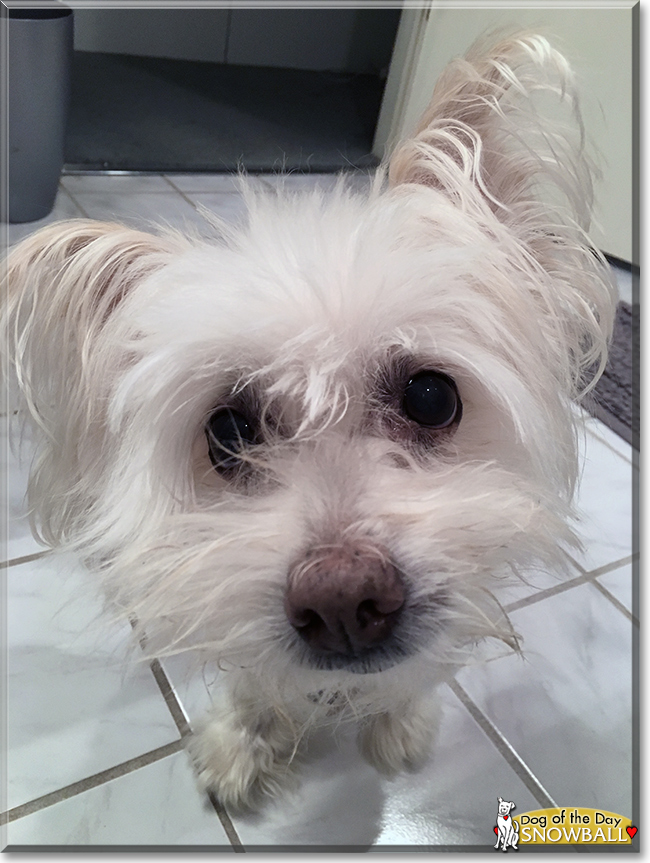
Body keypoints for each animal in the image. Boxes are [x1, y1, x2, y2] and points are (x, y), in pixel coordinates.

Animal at [3, 32, 612, 808]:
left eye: (431, 398)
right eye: (228, 433)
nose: (344, 600)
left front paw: (398, 721)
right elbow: (254, 685)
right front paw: (242, 744)